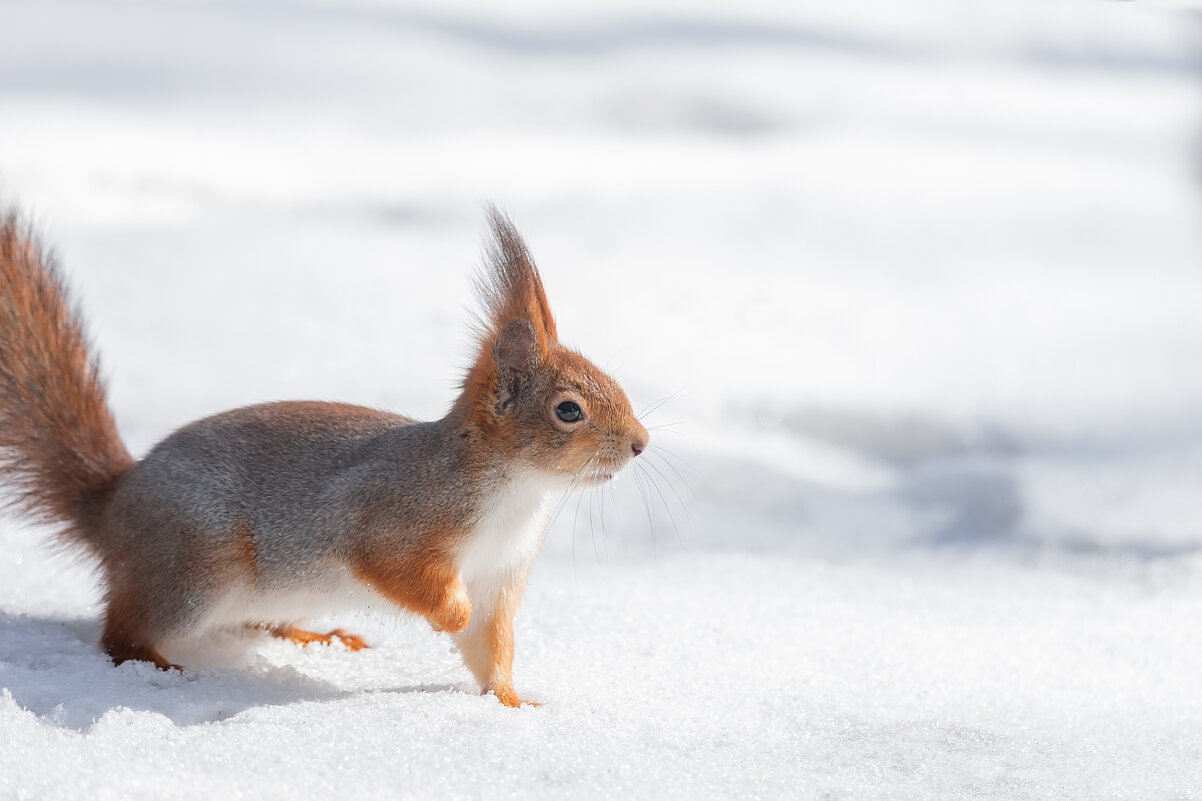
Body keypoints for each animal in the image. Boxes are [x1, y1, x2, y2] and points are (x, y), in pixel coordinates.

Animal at [0, 204, 649, 707]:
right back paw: (155, 664)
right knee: (120, 632)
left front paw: (514, 703)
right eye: (569, 410)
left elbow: (491, 648)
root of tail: (111, 506)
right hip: (191, 569)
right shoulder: (387, 515)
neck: (517, 490)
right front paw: (451, 616)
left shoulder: (500, 576)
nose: (641, 444)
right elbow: (401, 571)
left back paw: (315, 638)